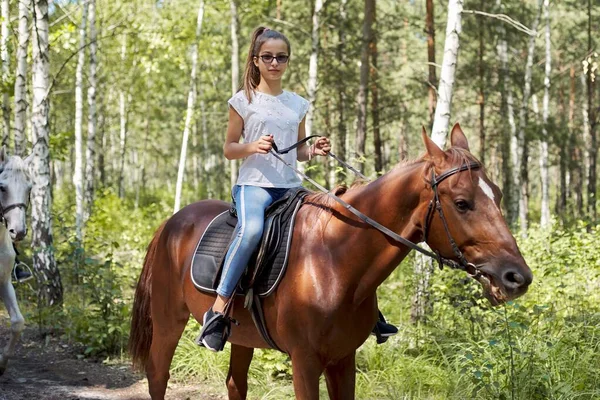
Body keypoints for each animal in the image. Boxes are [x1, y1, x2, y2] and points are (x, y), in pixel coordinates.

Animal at [129, 125, 532, 400]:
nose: (517, 277)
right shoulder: (305, 362)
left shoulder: (343, 359)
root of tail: (171, 223)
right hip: (168, 321)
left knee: (234, 384)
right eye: (462, 202)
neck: (335, 262)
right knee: (158, 377)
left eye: (497, 194)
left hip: (241, 336)